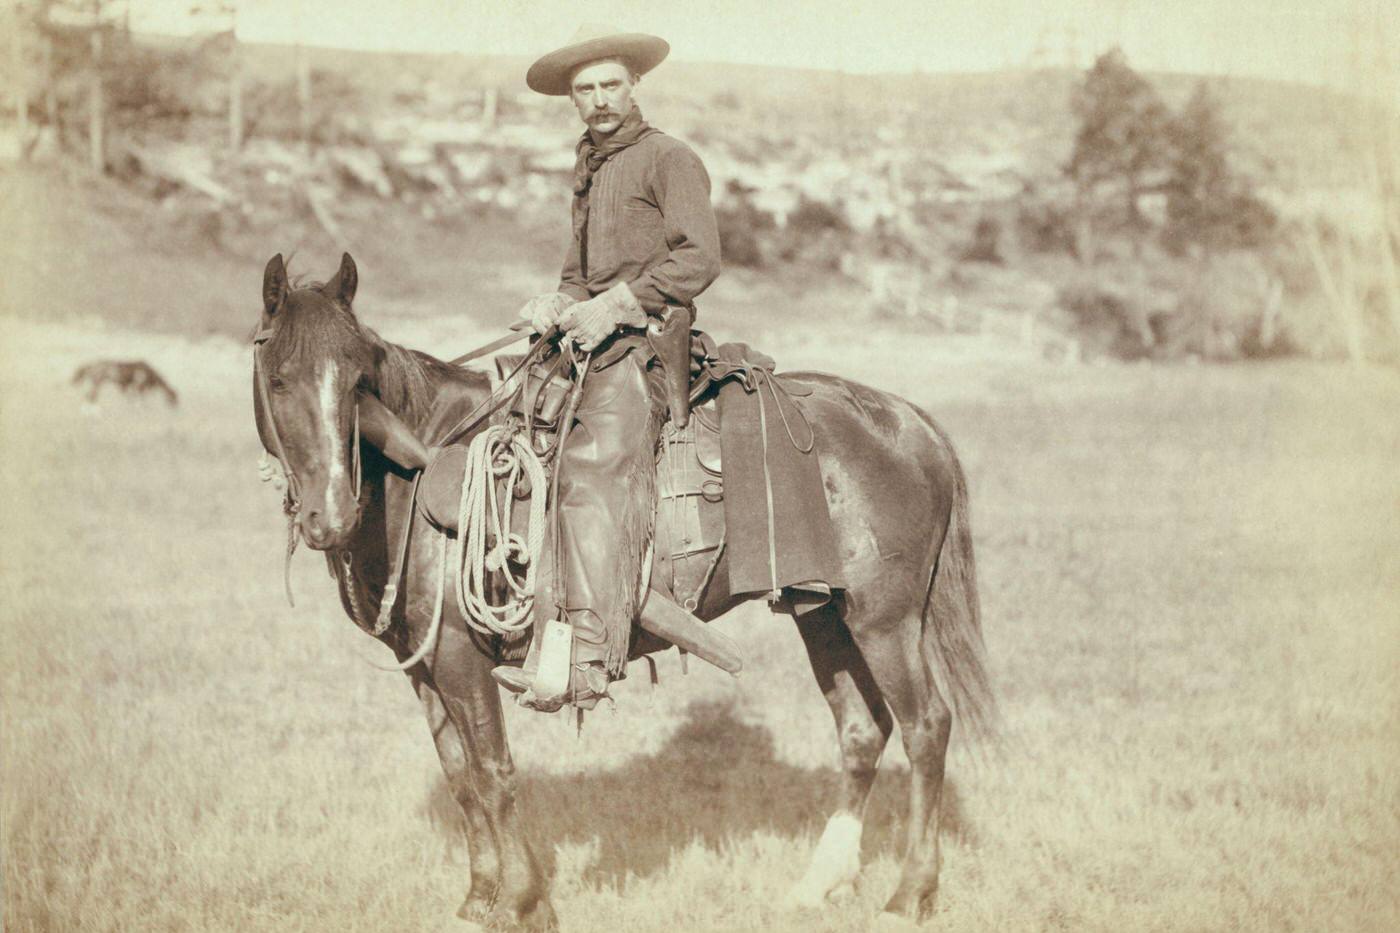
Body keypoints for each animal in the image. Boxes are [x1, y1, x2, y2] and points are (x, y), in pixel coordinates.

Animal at [252, 250, 996, 924]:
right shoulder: (425, 667)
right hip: (823, 614)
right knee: (863, 730)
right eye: (279, 381)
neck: (421, 472)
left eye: (357, 382)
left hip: (885, 619)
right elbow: (461, 778)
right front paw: (478, 897)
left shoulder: (463, 660)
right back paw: (819, 884)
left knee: (926, 727)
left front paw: (522, 903)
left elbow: (494, 775)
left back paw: (909, 894)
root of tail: (909, 421)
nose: (330, 515)